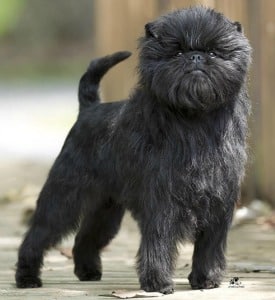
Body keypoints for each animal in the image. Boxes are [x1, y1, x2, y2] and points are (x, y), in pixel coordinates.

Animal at [15, 5, 252, 294]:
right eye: (177, 53)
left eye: (214, 52)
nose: (196, 56)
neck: (195, 120)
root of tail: (89, 109)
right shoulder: (162, 202)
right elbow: (159, 242)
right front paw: (158, 282)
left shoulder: (218, 203)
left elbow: (209, 245)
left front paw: (206, 279)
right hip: (64, 197)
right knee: (38, 234)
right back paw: (27, 277)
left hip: (106, 207)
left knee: (86, 236)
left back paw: (88, 271)